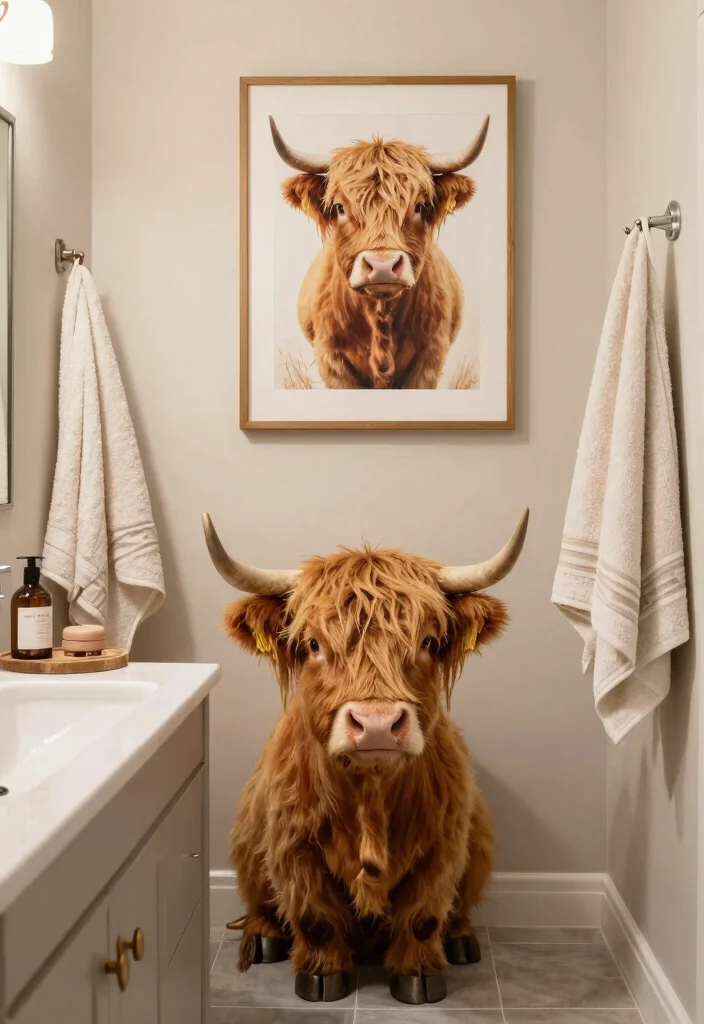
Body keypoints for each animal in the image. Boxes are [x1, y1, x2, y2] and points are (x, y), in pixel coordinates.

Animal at [203, 507, 529, 1005]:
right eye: (313, 644)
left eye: (428, 642)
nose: (376, 724)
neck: (370, 791)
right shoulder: (293, 846)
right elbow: (314, 917)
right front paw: (322, 976)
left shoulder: (444, 845)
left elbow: (424, 915)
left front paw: (419, 976)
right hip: (246, 839)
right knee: (259, 899)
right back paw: (263, 938)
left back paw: (461, 940)